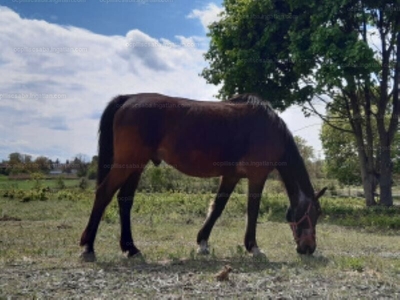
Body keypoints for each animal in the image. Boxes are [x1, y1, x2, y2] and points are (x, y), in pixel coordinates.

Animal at [79, 92, 326, 262]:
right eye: (314, 213)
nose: (308, 248)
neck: (268, 127)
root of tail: (128, 98)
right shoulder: (257, 176)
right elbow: (252, 210)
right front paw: (253, 247)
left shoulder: (231, 176)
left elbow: (217, 207)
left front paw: (203, 243)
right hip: (128, 163)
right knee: (104, 193)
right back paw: (88, 247)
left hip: (136, 166)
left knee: (125, 200)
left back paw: (131, 248)